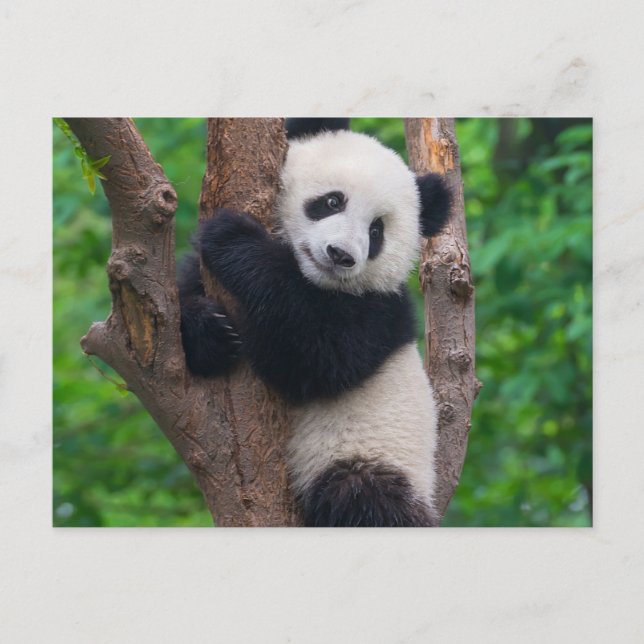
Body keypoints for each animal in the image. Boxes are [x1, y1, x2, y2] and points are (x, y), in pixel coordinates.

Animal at [178, 118, 452, 527]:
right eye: (332, 201)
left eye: (376, 231)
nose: (340, 255)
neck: (313, 280)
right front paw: (210, 333)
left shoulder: (379, 313)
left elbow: (315, 358)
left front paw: (232, 237)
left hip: (370, 457)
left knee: (363, 498)